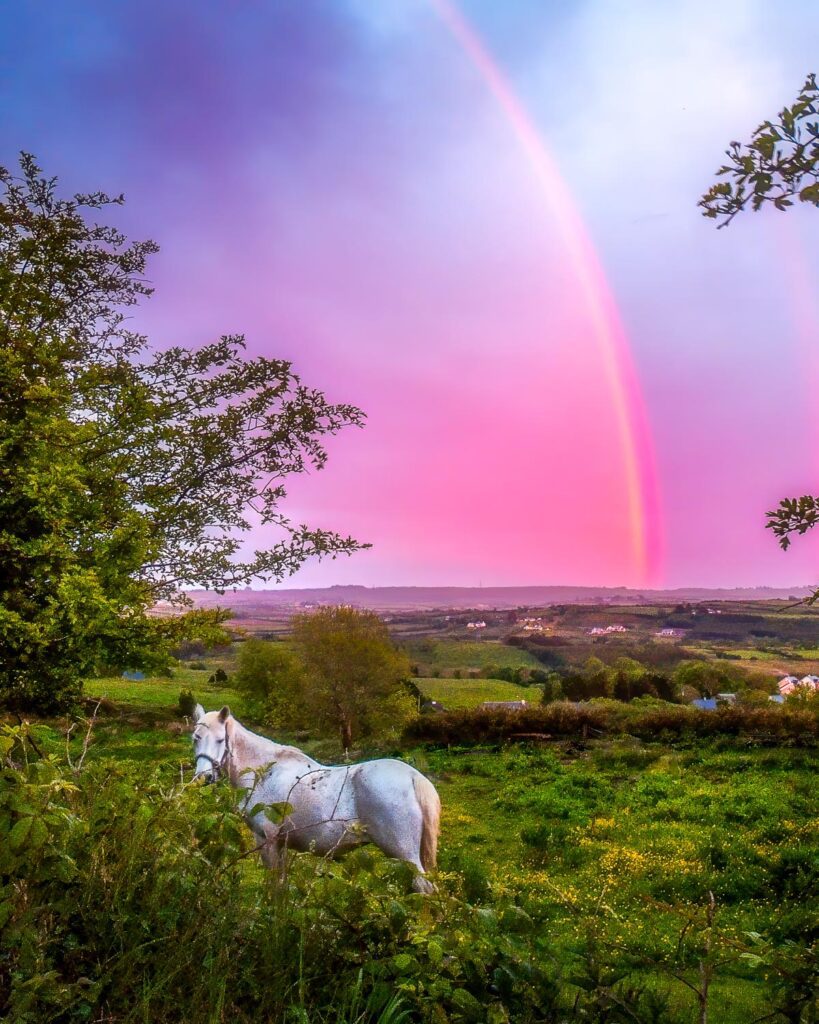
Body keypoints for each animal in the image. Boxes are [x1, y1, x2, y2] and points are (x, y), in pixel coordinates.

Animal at [190, 708, 442, 892]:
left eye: (220, 740)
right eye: (195, 739)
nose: (204, 777)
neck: (264, 771)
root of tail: (413, 777)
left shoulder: (267, 839)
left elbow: (273, 885)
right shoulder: (281, 844)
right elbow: (281, 884)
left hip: (404, 853)